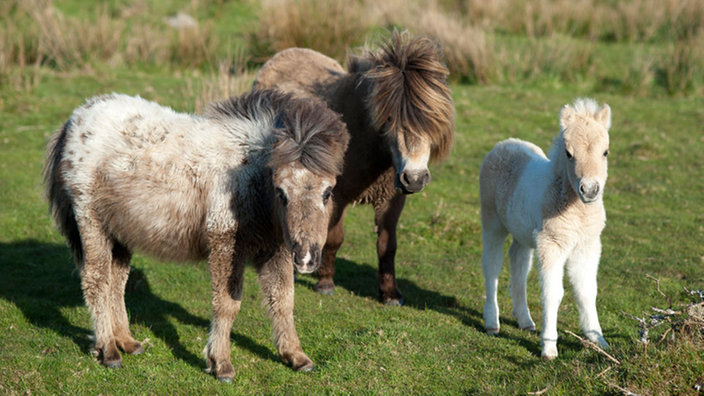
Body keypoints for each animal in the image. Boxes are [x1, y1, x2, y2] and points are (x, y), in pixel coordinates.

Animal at [42, 89, 348, 380]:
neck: (249, 175)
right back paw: (108, 350)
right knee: (95, 280)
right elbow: (227, 304)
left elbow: (283, 301)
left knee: (115, 283)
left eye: (327, 192)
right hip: (90, 220)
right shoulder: (225, 241)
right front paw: (221, 364)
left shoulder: (274, 248)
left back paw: (127, 342)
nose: (306, 259)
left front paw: (296, 356)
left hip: (119, 232)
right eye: (281, 192)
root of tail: (74, 121)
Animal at [253, 29, 456, 304]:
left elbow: (387, 245)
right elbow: (334, 238)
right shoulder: (336, 196)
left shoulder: (392, 197)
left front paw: (390, 294)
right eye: (389, 119)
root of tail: (284, 53)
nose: (414, 179)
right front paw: (325, 284)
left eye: (433, 120)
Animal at [478, 98, 612, 358]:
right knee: (492, 265)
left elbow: (587, 291)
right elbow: (553, 293)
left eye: (605, 152)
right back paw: (492, 322)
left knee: (518, 261)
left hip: (523, 231)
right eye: (568, 153)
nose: (590, 190)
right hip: (491, 221)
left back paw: (525, 321)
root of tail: (504, 144)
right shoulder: (552, 244)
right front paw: (549, 346)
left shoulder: (587, 246)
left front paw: (598, 341)